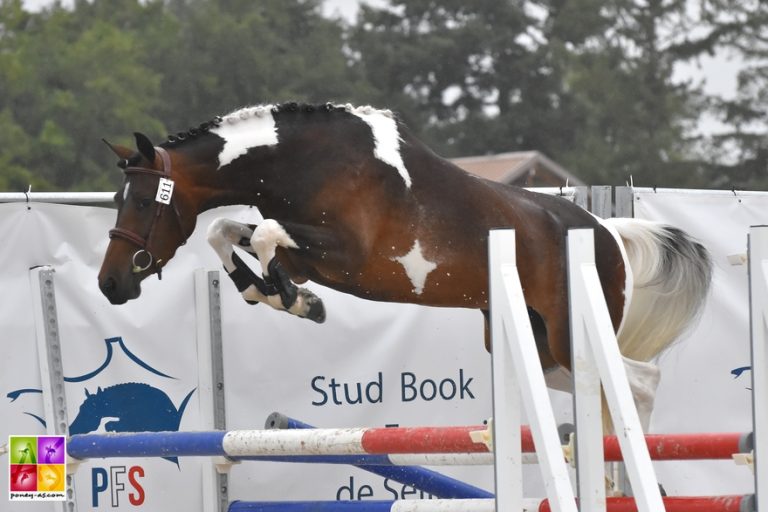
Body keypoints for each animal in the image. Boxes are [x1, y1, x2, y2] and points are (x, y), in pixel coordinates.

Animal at [97, 102, 712, 430]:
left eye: (144, 202)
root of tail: (607, 232)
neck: (307, 163)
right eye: (117, 200)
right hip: (537, 344)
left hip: (571, 332)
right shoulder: (307, 248)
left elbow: (265, 237)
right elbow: (225, 231)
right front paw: (274, 294)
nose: (110, 284)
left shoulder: (346, 256)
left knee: (640, 381)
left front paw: (297, 300)